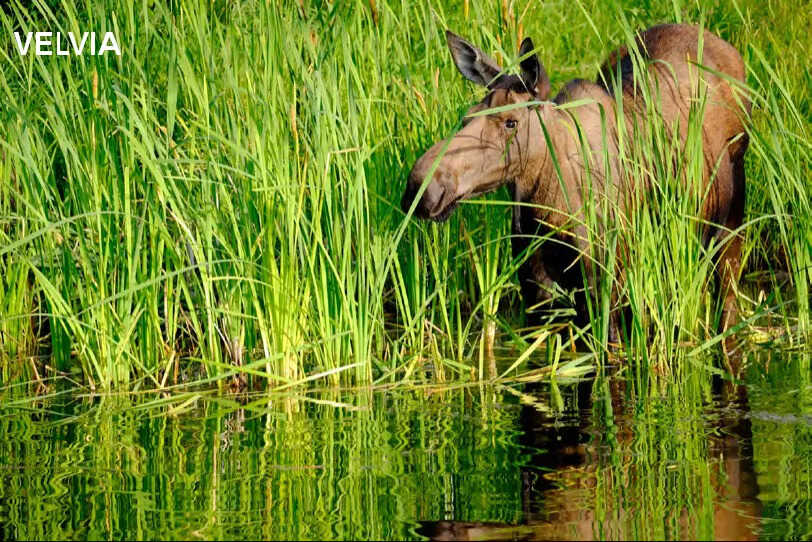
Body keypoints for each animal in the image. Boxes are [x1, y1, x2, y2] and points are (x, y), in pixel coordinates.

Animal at [402, 24, 752, 344]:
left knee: (728, 298)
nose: (421, 189)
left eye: (511, 122)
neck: (546, 209)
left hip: (730, 215)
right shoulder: (535, 292)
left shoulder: (605, 284)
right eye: (467, 116)